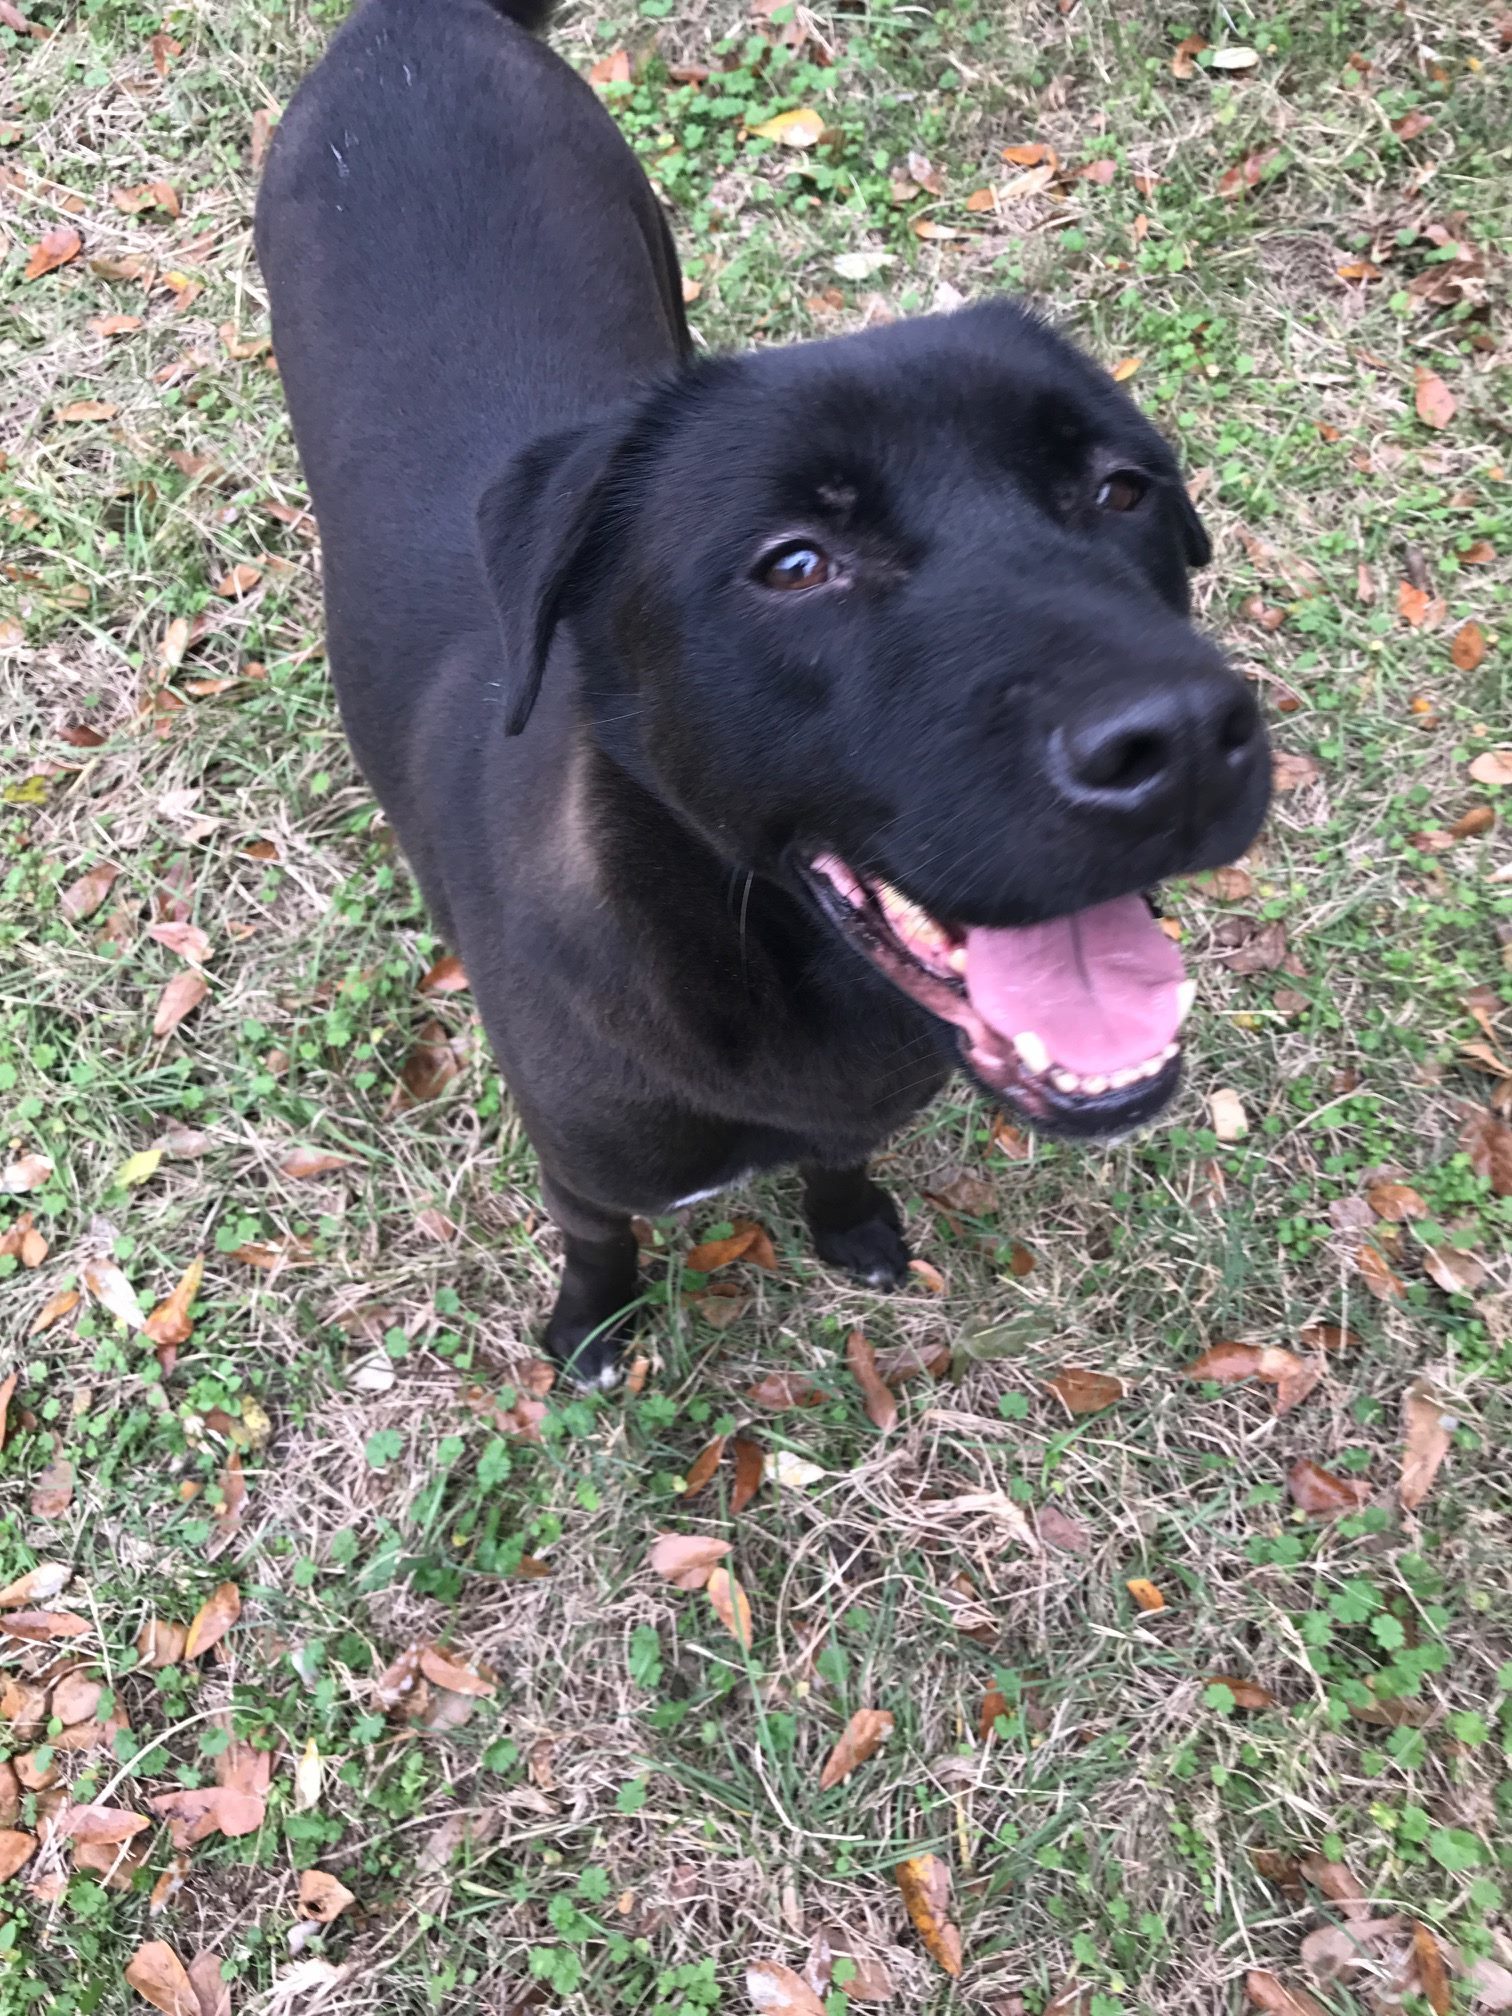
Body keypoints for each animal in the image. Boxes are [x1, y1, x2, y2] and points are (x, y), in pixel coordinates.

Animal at [258, 0, 1266, 1387]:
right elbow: (598, 1241)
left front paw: (853, 1229)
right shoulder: (580, 1165)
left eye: (1122, 488)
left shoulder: (857, 1107)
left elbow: (839, 1164)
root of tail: (414, 18)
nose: (1181, 742)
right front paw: (592, 1328)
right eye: (795, 564)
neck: (765, 976)